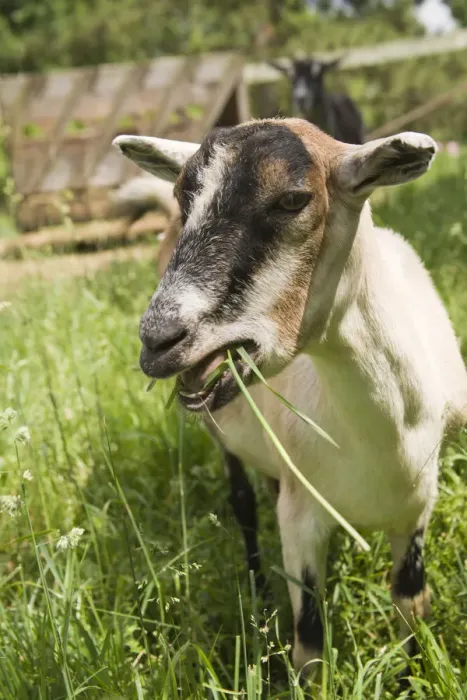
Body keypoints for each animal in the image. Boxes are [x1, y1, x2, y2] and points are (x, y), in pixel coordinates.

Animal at [113, 119, 467, 676]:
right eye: (182, 196)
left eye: (293, 199)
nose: (158, 340)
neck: (387, 438)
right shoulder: (301, 521)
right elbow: (309, 646)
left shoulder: (417, 506)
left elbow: (412, 604)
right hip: (220, 434)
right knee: (243, 505)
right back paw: (257, 591)